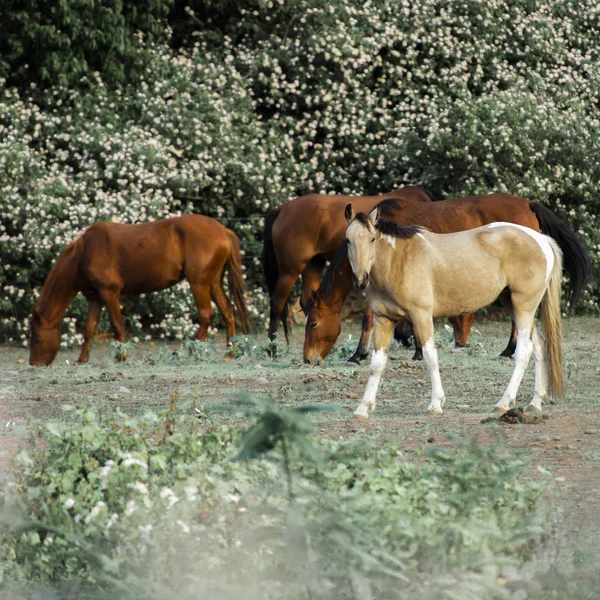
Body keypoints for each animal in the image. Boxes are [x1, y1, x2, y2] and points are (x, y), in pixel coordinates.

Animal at [29, 216, 250, 366]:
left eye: (37, 337)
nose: (34, 364)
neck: (85, 252)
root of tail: (222, 230)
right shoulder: (95, 298)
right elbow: (89, 329)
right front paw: (82, 359)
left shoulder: (110, 293)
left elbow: (117, 325)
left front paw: (121, 355)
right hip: (213, 283)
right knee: (227, 311)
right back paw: (230, 353)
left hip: (199, 284)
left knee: (206, 315)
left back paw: (192, 352)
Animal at [264, 185, 436, 352]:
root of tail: (282, 209)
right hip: (289, 271)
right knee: (277, 303)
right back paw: (272, 349)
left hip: (313, 264)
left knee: (306, 300)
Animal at [302, 196, 592, 366]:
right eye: (348, 240)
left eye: (313, 323)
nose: (307, 359)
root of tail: (526, 203)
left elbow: (369, 319)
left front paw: (358, 355)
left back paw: (509, 350)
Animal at [344, 206, 568, 418]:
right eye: (348, 240)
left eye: (372, 239)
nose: (361, 279)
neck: (398, 262)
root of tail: (541, 239)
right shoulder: (384, 321)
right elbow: (376, 365)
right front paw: (363, 408)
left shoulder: (421, 316)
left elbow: (430, 357)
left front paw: (435, 404)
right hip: (513, 304)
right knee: (539, 345)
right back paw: (535, 402)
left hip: (523, 306)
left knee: (524, 351)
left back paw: (504, 403)